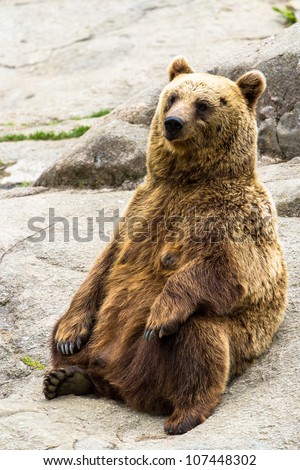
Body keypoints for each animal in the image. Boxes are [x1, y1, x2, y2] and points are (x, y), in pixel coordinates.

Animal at [43, 57, 288, 436]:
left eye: (203, 104)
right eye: (172, 97)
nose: (173, 123)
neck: (186, 180)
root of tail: (118, 379)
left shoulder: (238, 218)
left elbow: (228, 269)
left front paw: (160, 314)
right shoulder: (139, 208)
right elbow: (101, 268)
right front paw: (70, 335)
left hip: (195, 346)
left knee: (198, 342)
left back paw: (184, 415)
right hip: (100, 340)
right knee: (60, 331)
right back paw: (67, 375)